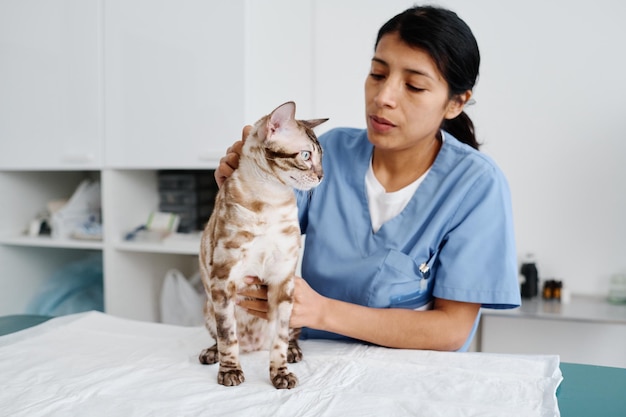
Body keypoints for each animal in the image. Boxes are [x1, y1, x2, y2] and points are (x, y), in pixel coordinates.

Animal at [199, 100, 326, 386]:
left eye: (321, 157)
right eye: (306, 156)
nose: (322, 176)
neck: (270, 200)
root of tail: (254, 345)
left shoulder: (283, 279)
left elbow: (278, 340)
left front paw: (281, 374)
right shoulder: (224, 279)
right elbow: (228, 336)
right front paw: (230, 371)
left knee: (289, 336)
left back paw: (292, 352)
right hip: (209, 307)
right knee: (224, 338)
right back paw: (211, 353)